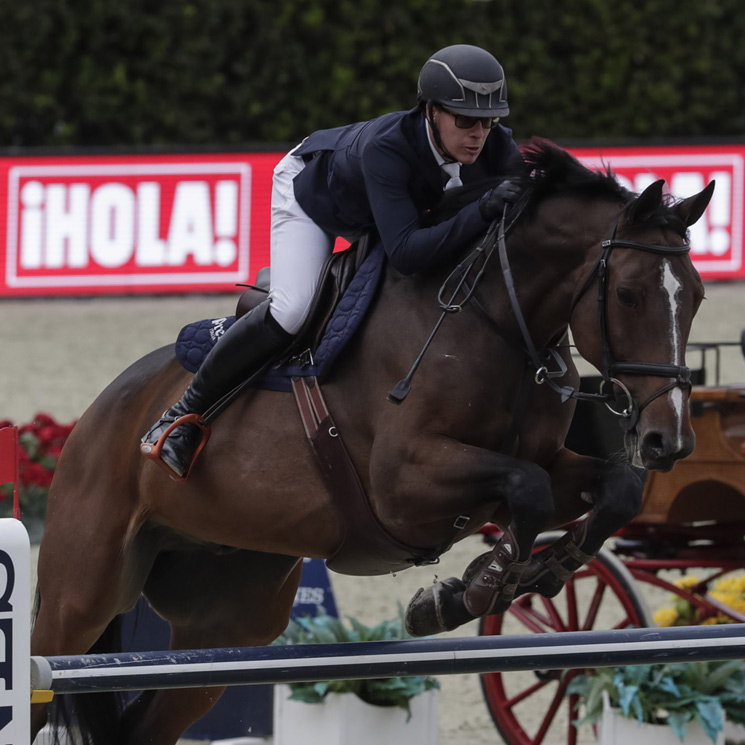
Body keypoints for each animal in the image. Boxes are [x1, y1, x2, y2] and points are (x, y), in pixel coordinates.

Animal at [32, 141, 712, 744]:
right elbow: (529, 488)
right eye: (627, 294)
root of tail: (97, 417)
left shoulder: (539, 464)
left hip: (228, 617)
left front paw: (544, 571)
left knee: (149, 722)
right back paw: (171, 436)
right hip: (80, 597)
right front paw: (469, 591)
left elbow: (610, 488)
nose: (669, 440)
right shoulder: (403, 486)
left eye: (698, 296)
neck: (499, 323)